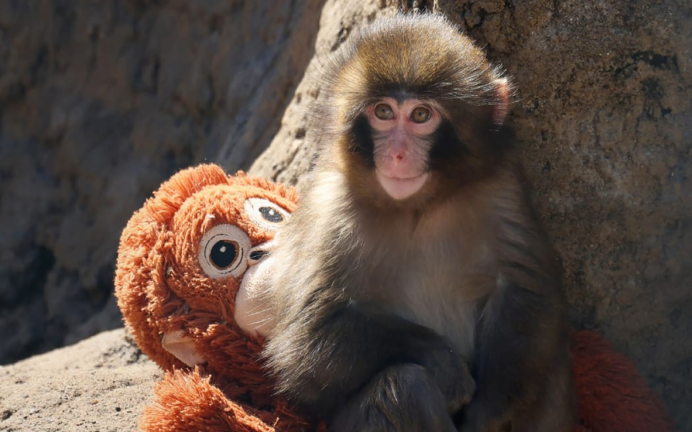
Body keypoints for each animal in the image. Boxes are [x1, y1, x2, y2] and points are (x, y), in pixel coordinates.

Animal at [262, 13, 576, 432]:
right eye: (383, 112)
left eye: (421, 116)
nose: (396, 154)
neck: (418, 207)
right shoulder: (330, 209)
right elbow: (306, 341)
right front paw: (442, 362)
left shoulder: (501, 185)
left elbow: (525, 291)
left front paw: (487, 414)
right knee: (404, 385)